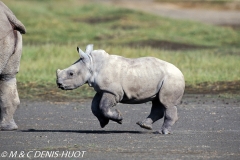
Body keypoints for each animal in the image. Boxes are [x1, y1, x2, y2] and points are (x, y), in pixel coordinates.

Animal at [55, 44, 184, 134]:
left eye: (71, 74)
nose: (59, 84)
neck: (92, 64)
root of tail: (181, 72)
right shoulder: (103, 89)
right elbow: (94, 107)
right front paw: (104, 122)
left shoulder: (113, 91)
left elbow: (103, 106)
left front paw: (119, 118)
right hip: (160, 79)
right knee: (157, 101)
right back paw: (144, 125)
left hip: (171, 79)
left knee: (166, 103)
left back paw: (162, 132)